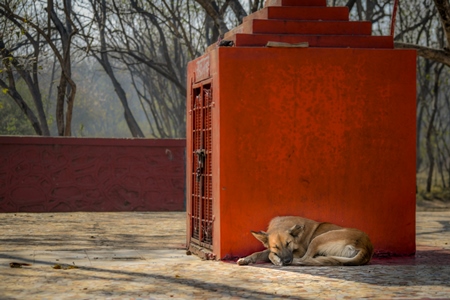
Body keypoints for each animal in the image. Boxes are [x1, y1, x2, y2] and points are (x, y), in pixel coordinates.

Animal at [237, 216, 374, 268]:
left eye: (288, 243)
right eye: (276, 246)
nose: (287, 261)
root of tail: (366, 247)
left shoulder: (299, 251)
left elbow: (270, 255)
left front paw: (276, 260)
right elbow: (259, 253)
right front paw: (246, 259)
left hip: (317, 239)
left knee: (306, 259)